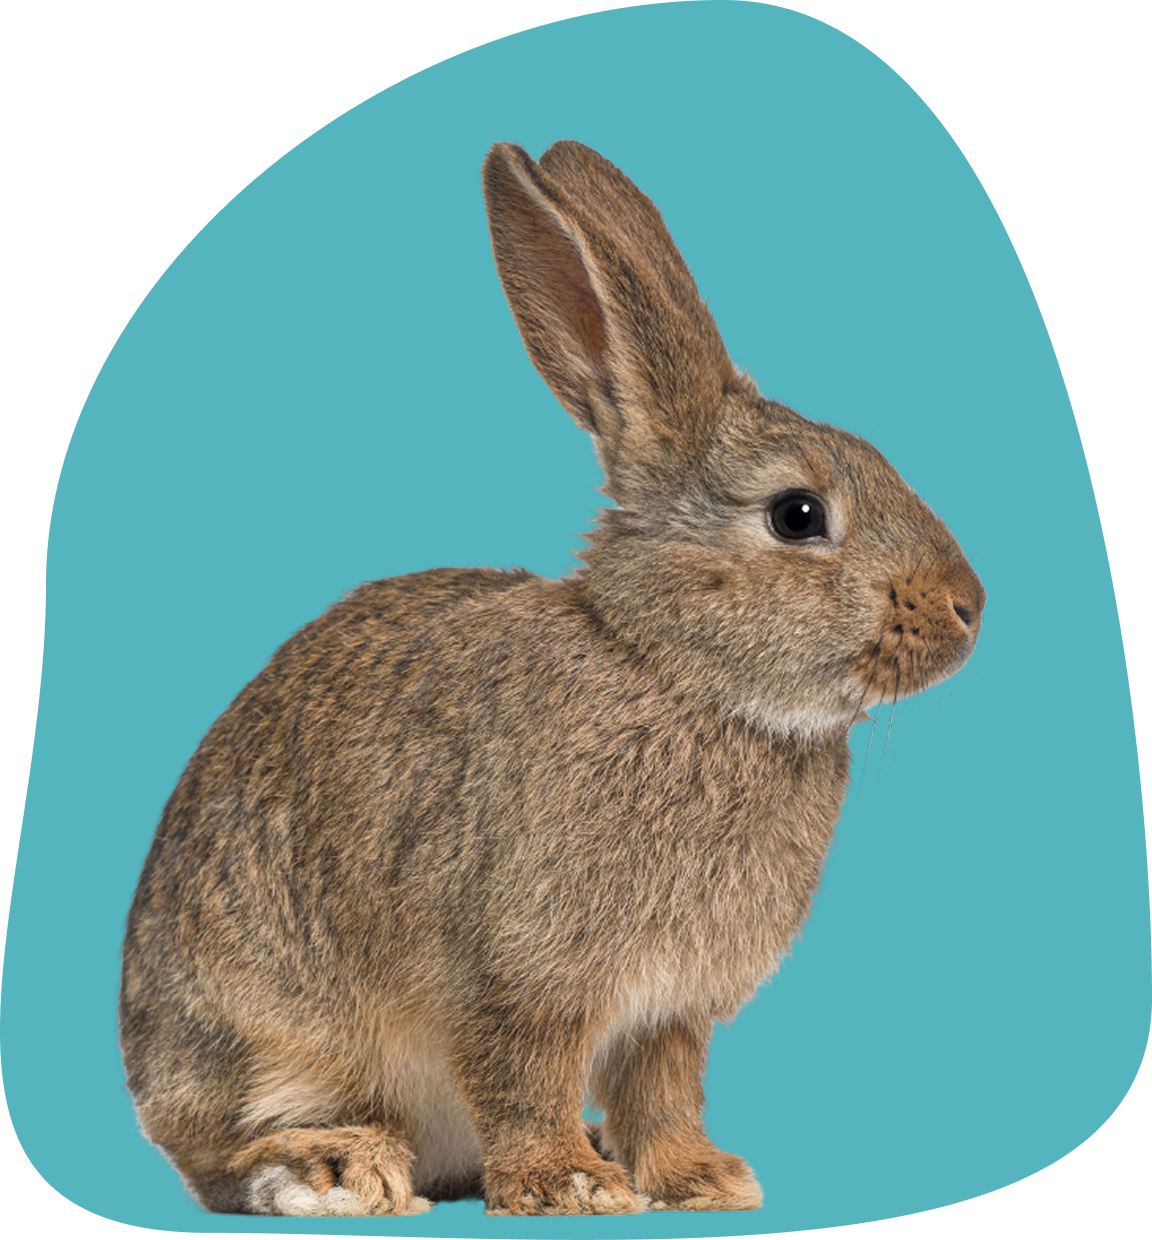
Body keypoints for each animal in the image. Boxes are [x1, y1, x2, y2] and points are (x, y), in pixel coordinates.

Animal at [119, 139, 985, 1218]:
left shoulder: (669, 1010)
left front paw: (699, 1178)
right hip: (262, 1032)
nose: (969, 607)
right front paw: (569, 1185)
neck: (678, 675)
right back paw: (335, 1170)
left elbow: (664, 1089)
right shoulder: (515, 974)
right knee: (220, 1154)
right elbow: (523, 1075)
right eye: (797, 514)